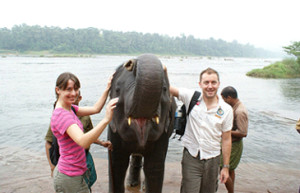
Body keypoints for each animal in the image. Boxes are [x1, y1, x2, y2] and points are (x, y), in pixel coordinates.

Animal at [108, 53, 177, 192]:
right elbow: (116, 165)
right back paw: (132, 184)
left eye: (165, 89)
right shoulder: (113, 131)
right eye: (117, 90)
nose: (131, 63)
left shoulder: (163, 134)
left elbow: (154, 167)